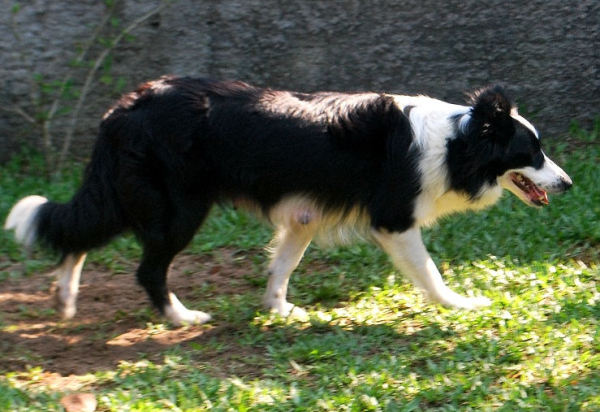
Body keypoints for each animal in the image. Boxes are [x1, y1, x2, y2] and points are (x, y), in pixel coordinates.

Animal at [7, 77, 576, 326]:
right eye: (532, 152)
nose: (569, 183)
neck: (458, 141)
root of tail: (125, 106)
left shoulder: (303, 213)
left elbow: (283, 264)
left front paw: (279, 308)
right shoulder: (394, 219)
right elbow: (431, 274)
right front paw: (460, 304)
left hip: (134, 194)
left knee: (80, 231)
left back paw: (64, 298)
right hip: (179, 208)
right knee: (146, 268)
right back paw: (181, 318)